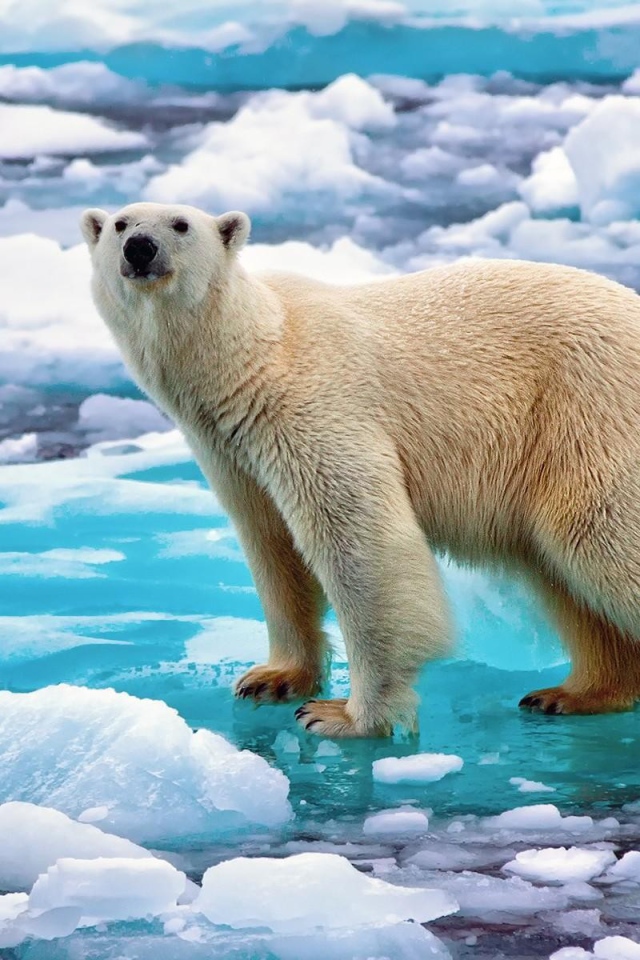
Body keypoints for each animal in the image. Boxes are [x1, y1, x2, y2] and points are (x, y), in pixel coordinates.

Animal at [80, 201, 640, 738]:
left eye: (180, 224)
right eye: (121, 223)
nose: (140, 247)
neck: (252, 357)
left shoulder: (312, 405)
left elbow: (361, 541)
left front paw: (345, 717)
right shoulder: (230, 449)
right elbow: (271, 545)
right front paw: (270, 677)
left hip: (587, 409)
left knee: (594, 531)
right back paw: (572, 693)